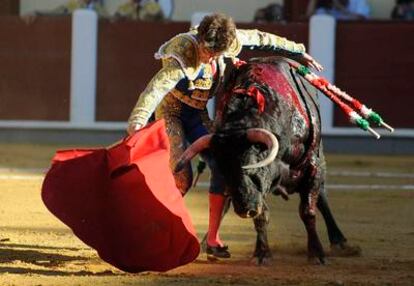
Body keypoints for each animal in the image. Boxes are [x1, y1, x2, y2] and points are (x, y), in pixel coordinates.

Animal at [176, 57, 358, 264]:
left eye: (252, 169)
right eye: (226, 173)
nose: (245, 209)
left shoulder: (312, 166)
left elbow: (307, 210)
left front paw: (317, 254)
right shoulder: (257, 188)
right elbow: (261, 215)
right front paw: (262, 253)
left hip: (319, 162)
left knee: (321, 197)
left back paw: (340, 242)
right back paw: (208, 243)